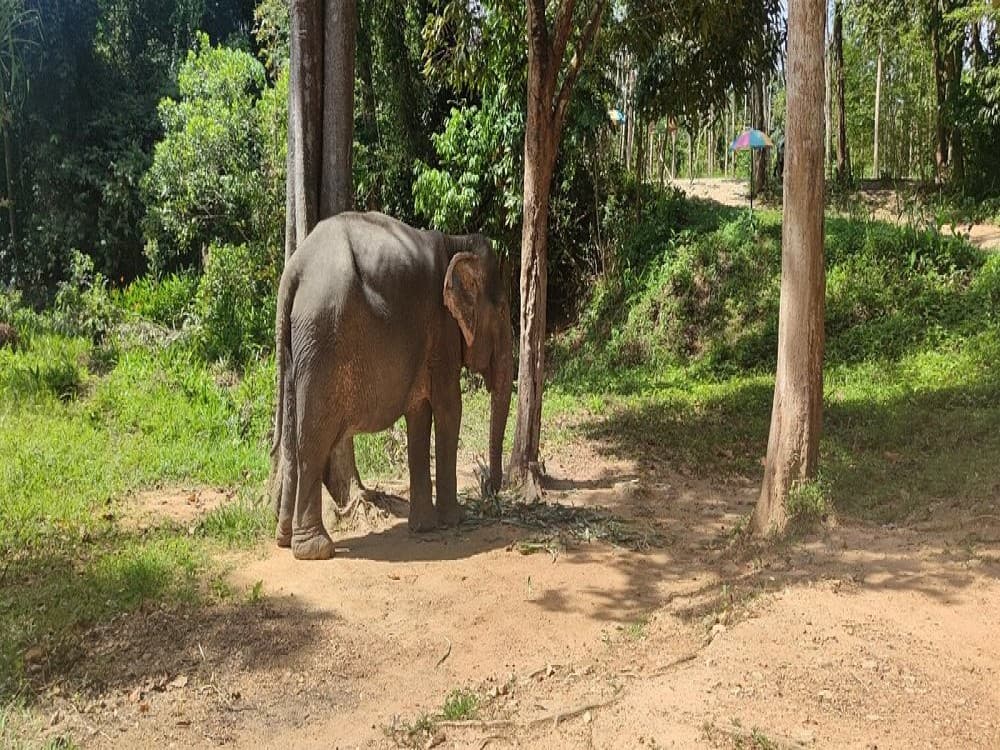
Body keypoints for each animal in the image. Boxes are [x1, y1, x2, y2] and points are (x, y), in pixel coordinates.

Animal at [269, 211, 514, 560]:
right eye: (504, 309)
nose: (489, 489)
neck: (456, 241)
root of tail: (293, 271)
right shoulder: (441, 330)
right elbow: (449, 407)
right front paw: (455, 520)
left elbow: (419, 414)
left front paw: (425, 527)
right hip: (320, 340)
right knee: (313, 437)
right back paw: (315, 550)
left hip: (296, 348)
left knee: (290, 438)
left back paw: (285, 539)